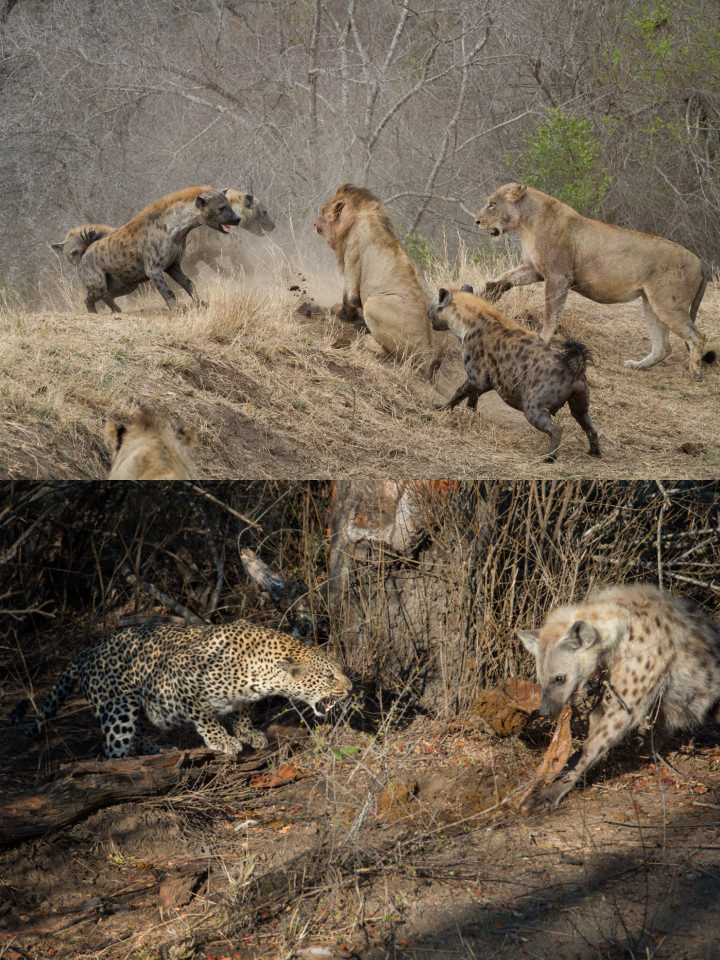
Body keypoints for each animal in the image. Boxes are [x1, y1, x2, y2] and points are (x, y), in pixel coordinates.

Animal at [9, 616, 352, 756]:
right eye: (329, 676)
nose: (350, 689)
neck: (262, 673)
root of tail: (84, 652)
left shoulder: (241, 697)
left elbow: (241, 710)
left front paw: (248, 733)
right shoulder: (180, 676)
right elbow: (205, 715)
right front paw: (222, 740)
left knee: (136, 734)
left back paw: (155, 749)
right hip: (118, 706)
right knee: (112, 748)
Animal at [316, 182, 444, 376]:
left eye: (323, 210)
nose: (315, 223)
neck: (357, 213)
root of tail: (428, 353)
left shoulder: (352, 259)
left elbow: (349, 298)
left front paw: (341, 313)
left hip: (373, 304)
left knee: (389, 352)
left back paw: (365, 337)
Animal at [476, 182, 712, 376]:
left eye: (492, 204)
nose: (476, 221)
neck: (526, 224)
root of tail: (700, 262)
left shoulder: (559, 275)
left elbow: (551, 311)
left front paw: (543, 339)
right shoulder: (535, 269)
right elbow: (508, 277)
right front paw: (489, 291)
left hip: (669, 304)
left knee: (697, 336)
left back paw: (694, 371)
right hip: (651, 304)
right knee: (663, 346)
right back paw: (636, 366)